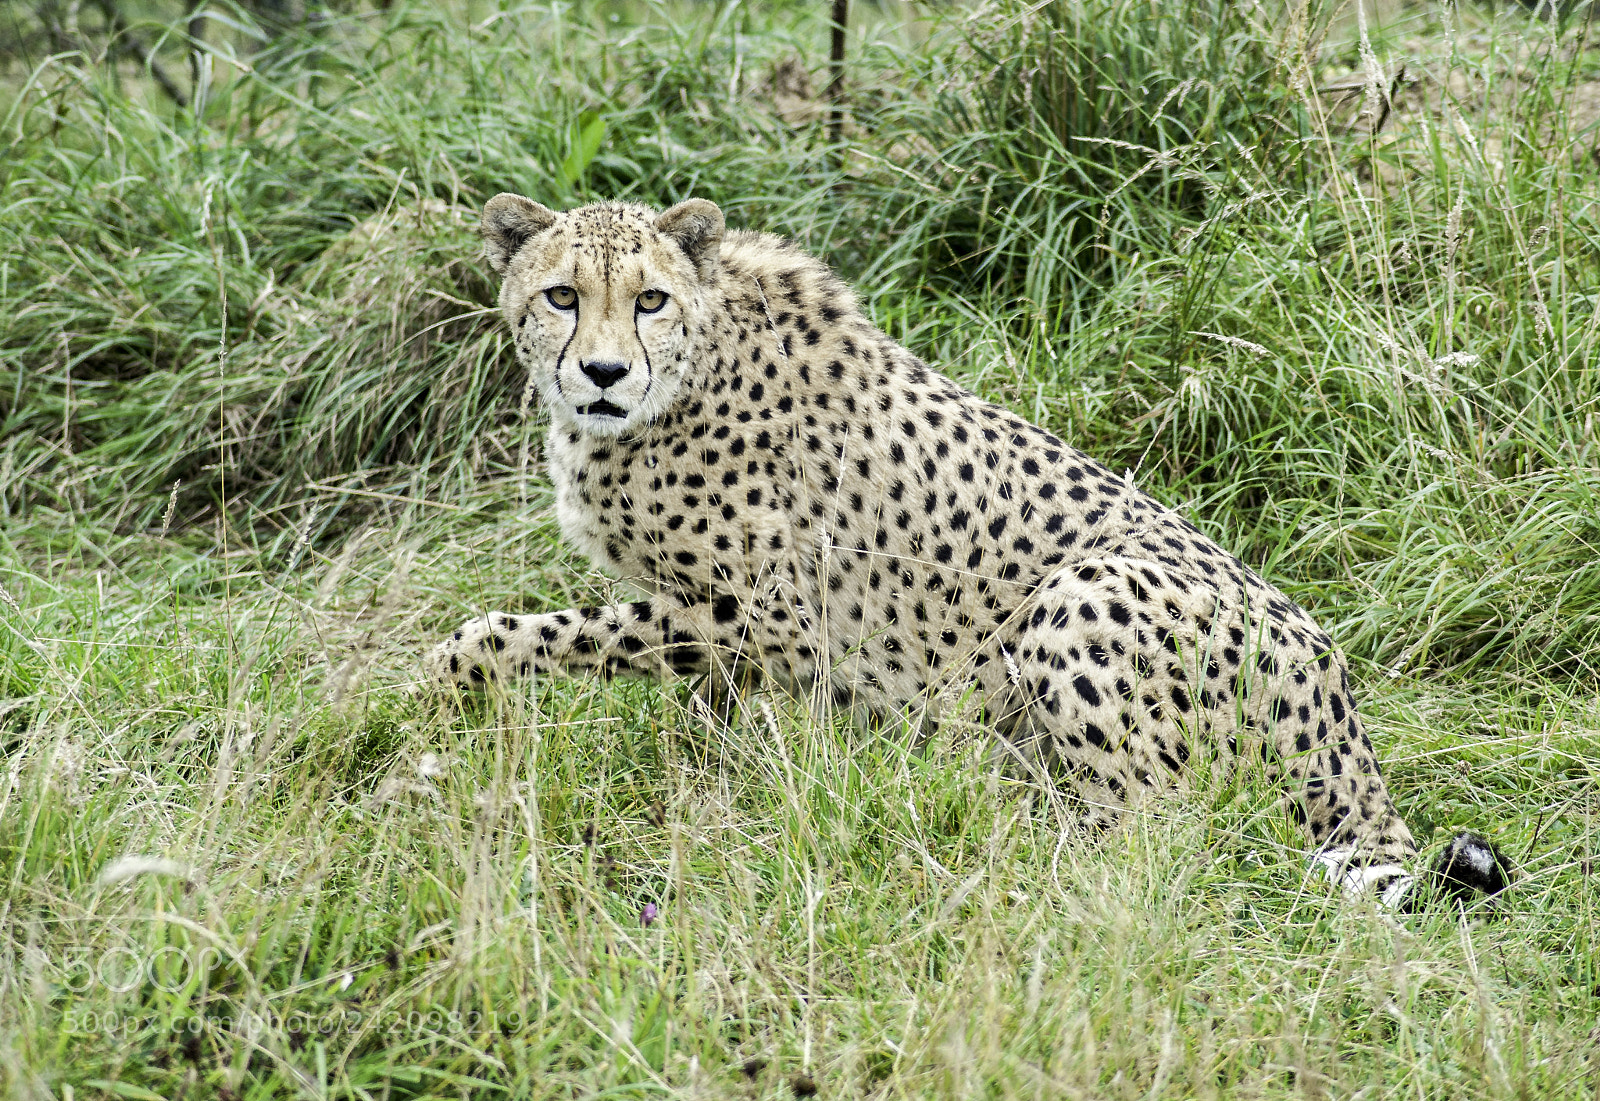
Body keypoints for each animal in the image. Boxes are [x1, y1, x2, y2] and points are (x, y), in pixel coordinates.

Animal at [425, 193, 1509, 909]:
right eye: (561, 297)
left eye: (648, 300)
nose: (603, 373)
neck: (685, 373)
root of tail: (1337, 693)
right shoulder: (744, 636)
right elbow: (704, 716)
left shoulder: (765, 613)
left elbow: (531, 633)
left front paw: (440, 688)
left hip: (1077, 598)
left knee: (1159, 836)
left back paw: (1001, 849)